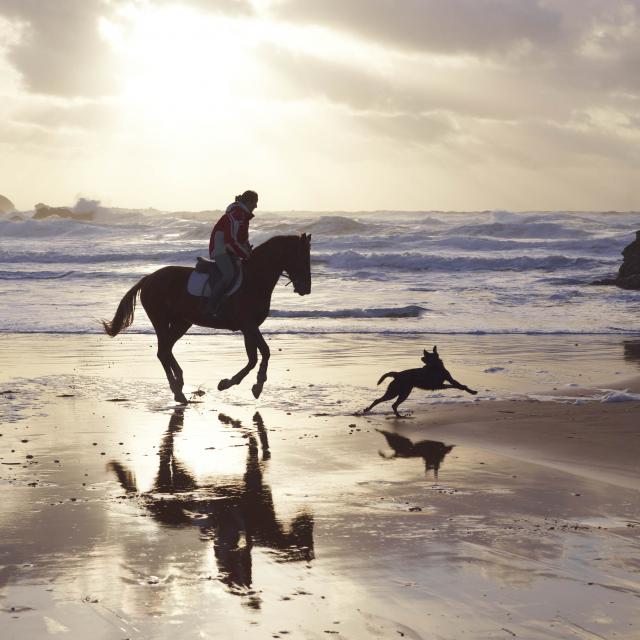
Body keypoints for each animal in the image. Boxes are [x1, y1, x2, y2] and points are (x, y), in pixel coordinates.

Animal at [101, 232, 312, 402]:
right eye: (302, 258)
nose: (306, 288)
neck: (254, 279)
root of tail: (149, 278)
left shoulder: (249, 327)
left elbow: (253, 358)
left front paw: (233, 383)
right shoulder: (248, 325)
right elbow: (264, 352)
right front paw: (255, 384)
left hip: (181, 322)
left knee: (167, 349)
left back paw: (179, 383)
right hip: (160, 319)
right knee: (162, 352)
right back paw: (177, 390)